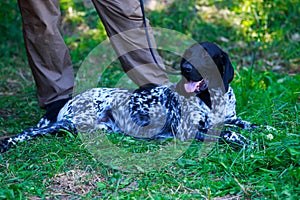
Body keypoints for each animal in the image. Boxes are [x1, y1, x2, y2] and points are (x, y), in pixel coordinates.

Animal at [0, 41, 258, 152]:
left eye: (204, 55)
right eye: (187, 54)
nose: (184, 68)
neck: (210, 97)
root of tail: (71, 98)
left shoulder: (230, 117)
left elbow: (245, 123)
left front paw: (263, 130)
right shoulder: (187, 132)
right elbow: (226, 133)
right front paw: (244, 140)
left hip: (90, 128)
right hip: (69, 122)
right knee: (30, 131)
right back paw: (7, 143)